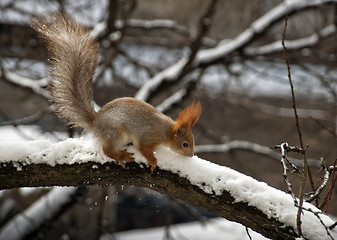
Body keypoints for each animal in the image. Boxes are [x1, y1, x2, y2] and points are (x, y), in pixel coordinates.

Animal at [30, 13, 200, 171]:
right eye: (185, 144)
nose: (191, 154)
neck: (166, 131)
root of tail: (96, 122)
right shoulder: (147, 137)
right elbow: (144, 148)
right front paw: (152, 160)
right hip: (116, 132)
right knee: (107, 149)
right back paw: (120, 155)